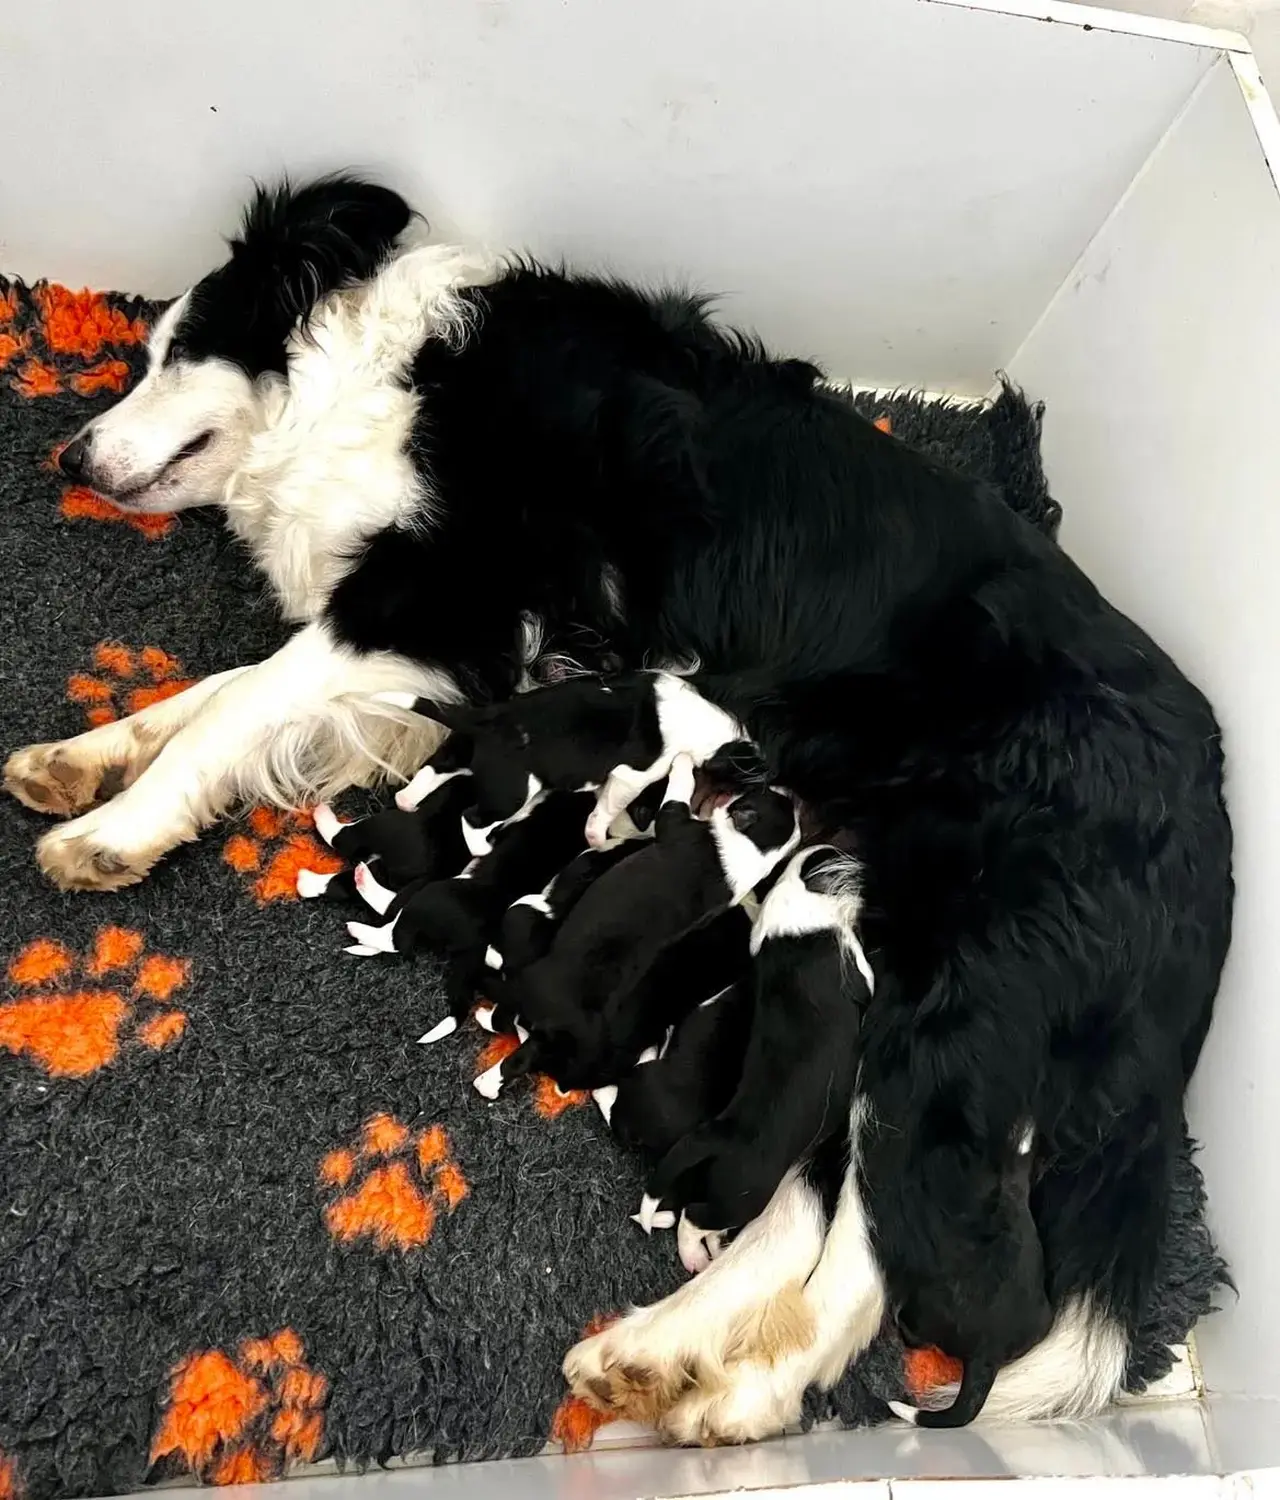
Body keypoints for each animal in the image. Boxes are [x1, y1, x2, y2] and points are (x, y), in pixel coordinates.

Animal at [480, 756, 798, 1098]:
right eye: (775, 797)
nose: (787, 790)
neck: (751, 853)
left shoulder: (674, 822)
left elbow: (676, 793)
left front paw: (682, 761)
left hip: (528, 986)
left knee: (510, 1019)